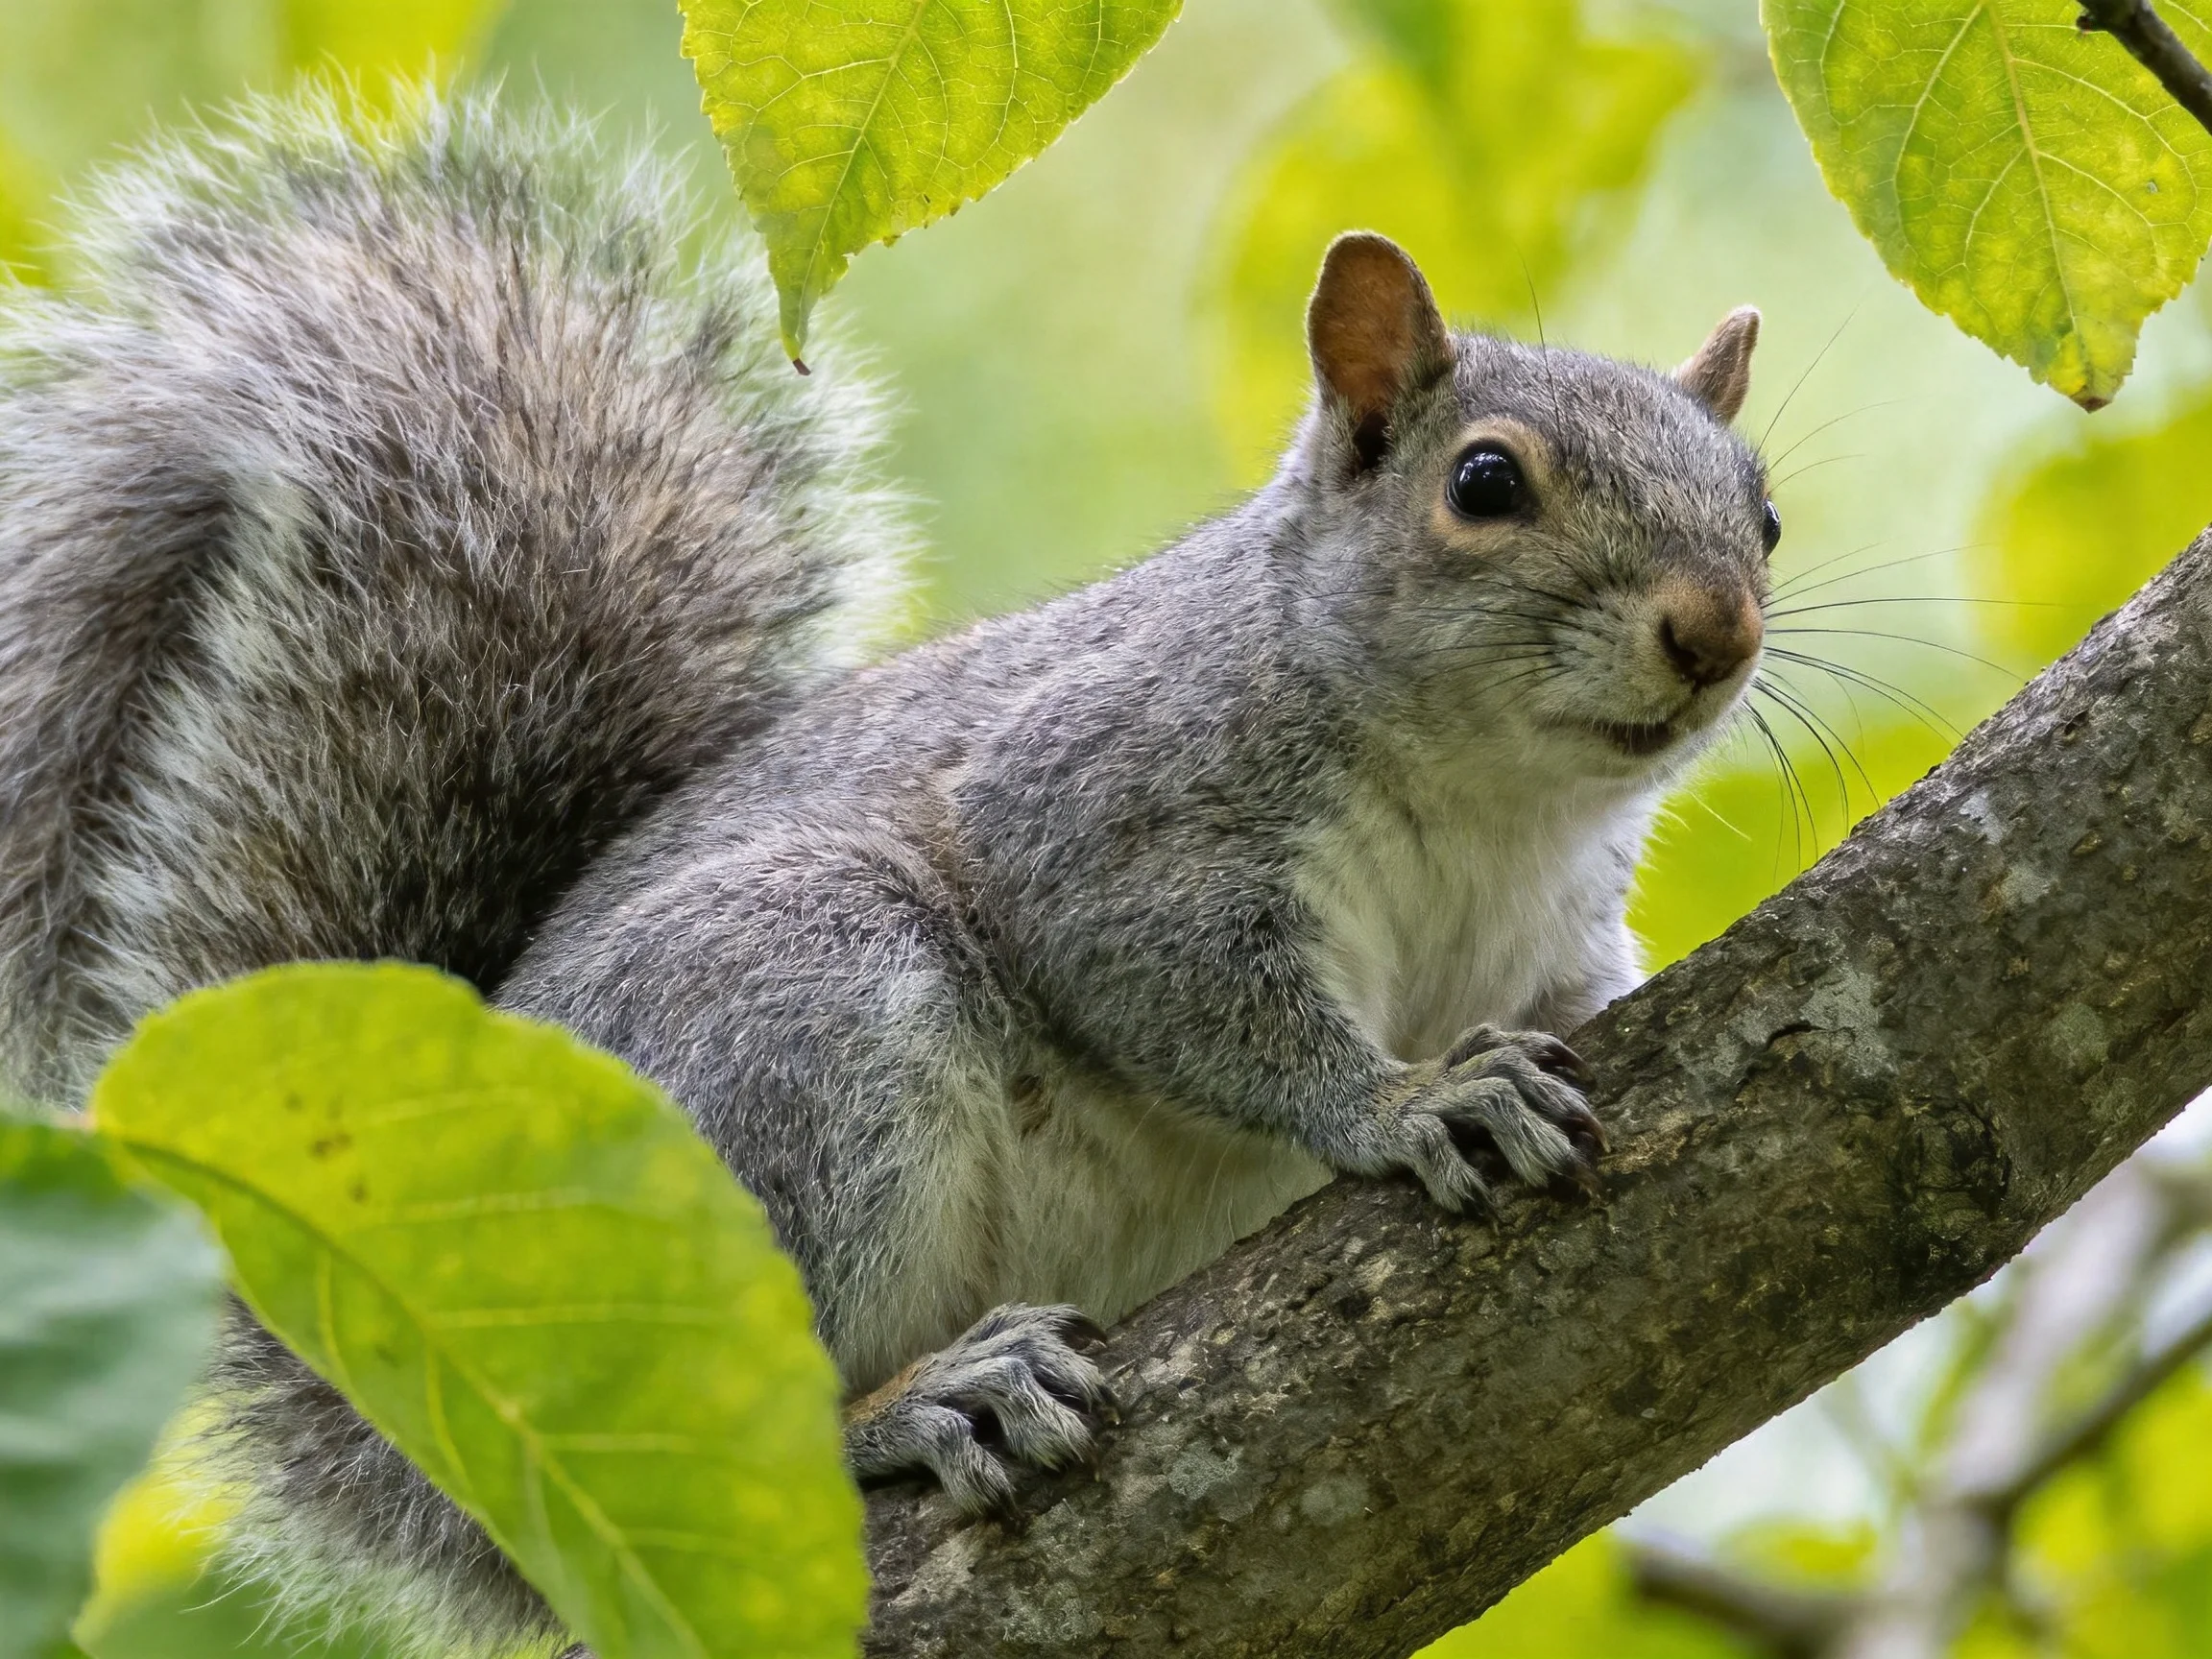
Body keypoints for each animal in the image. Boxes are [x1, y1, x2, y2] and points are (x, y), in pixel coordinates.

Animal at [0, 88, 1775, 1658]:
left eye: (1760, 511)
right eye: (1483, 484)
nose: (1717, 628)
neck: (1497, 807)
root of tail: (424, 1460)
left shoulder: (1547, 928)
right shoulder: (1106, 814)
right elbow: (1198, 999)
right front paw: (1407, 1101)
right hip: (800, 1015)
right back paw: (920, 1400)